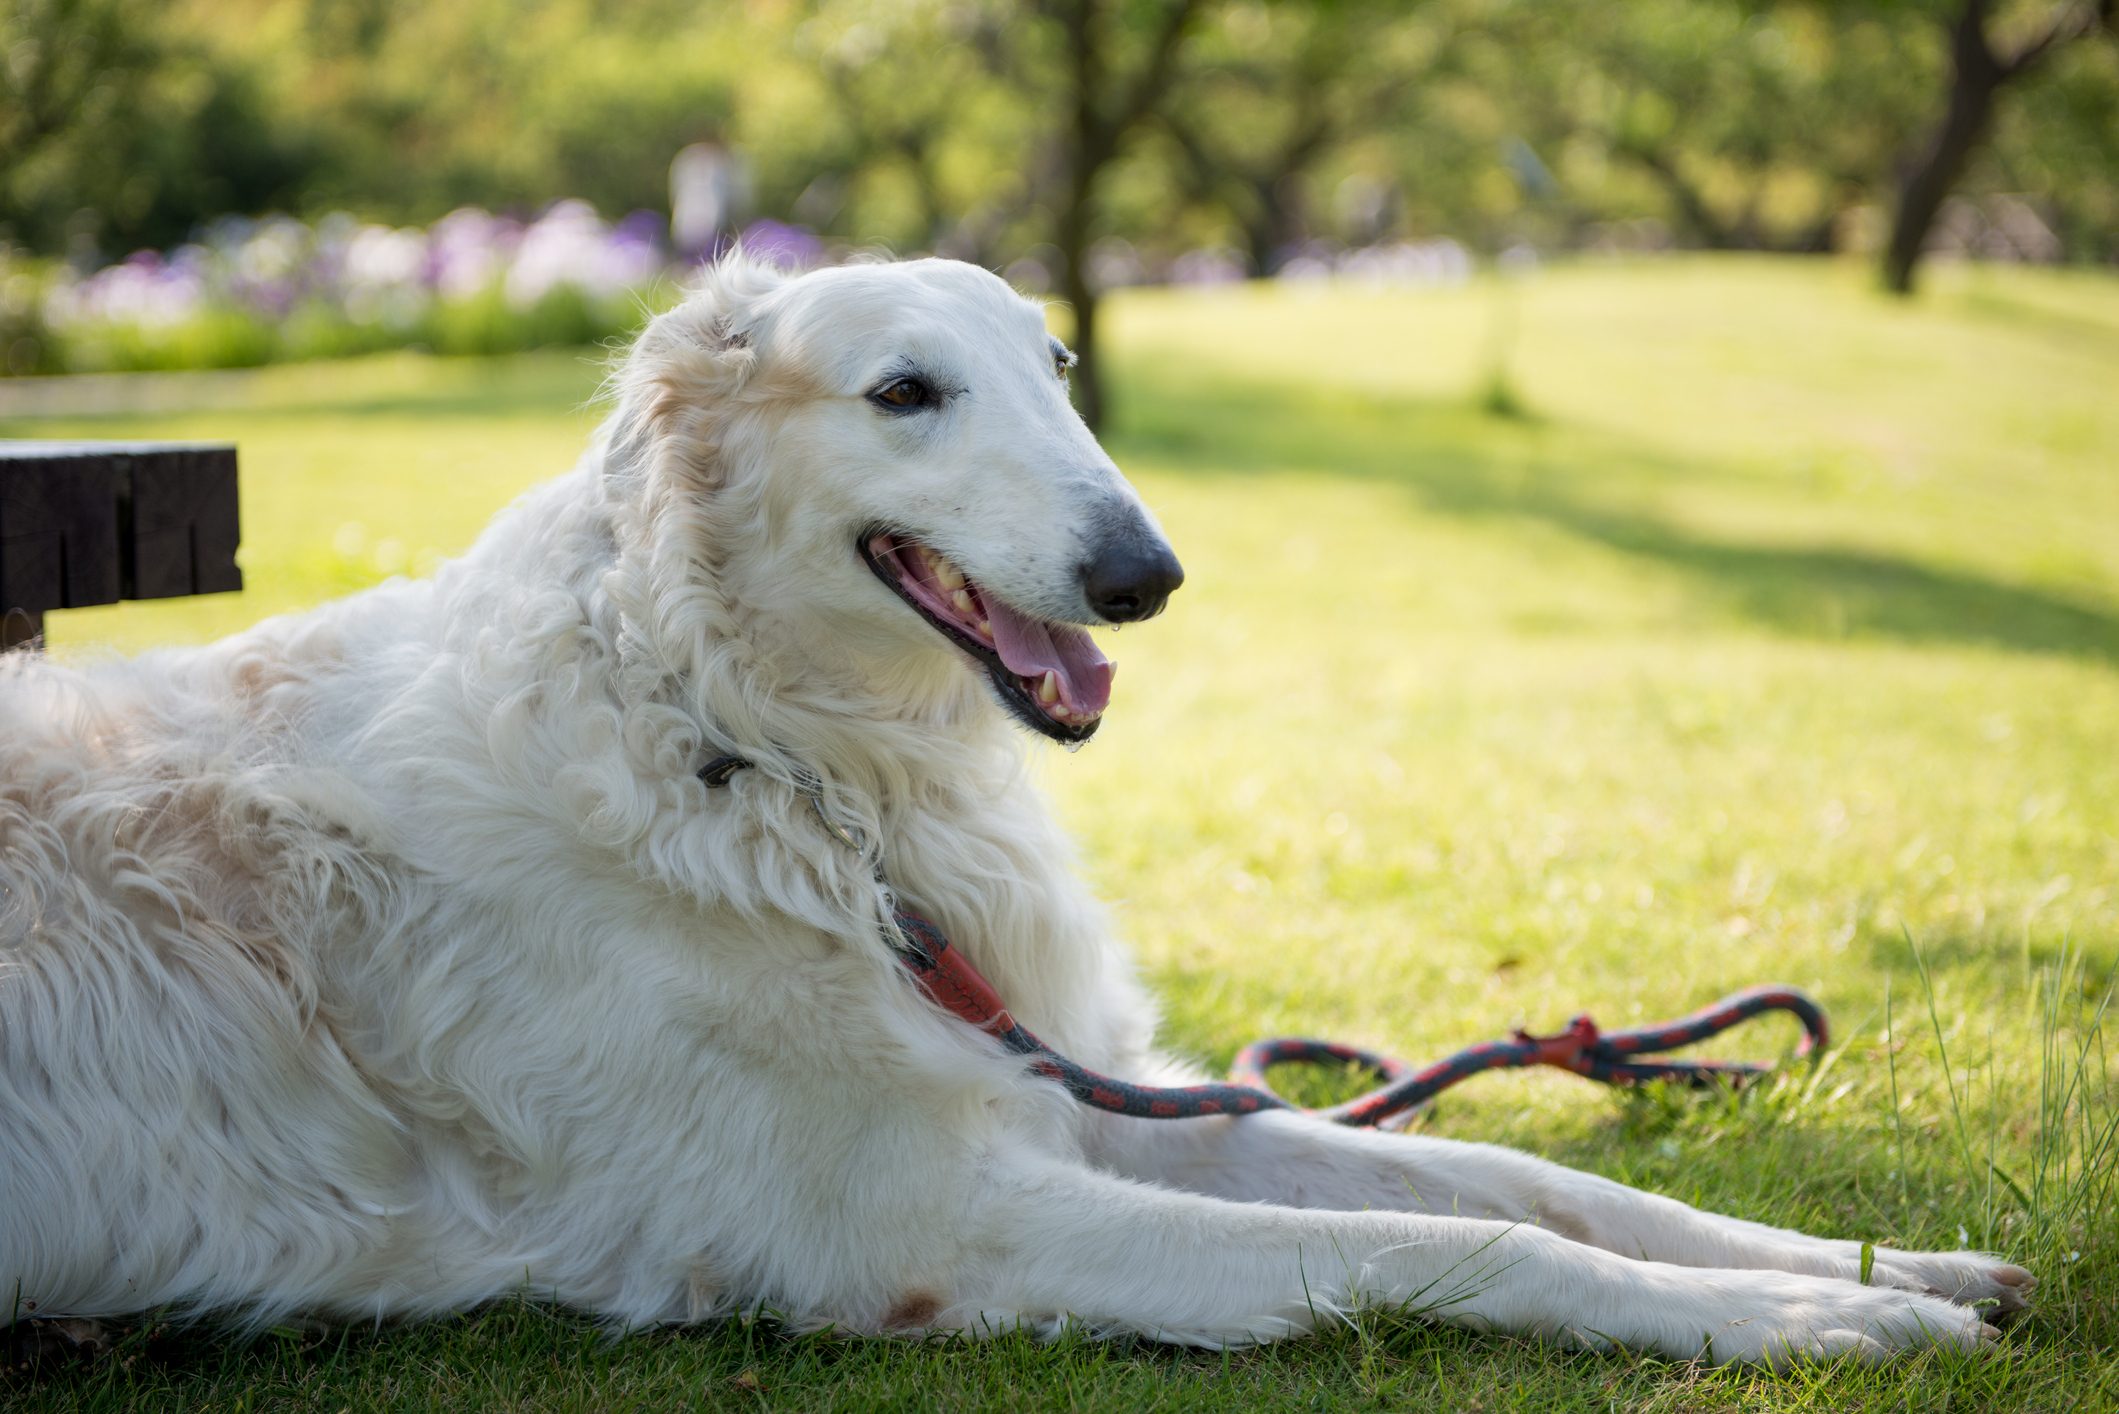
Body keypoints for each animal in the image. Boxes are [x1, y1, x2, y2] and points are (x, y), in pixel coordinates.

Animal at [0, 254, 2034, 1356]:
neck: (766, 766)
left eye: (1054, 369)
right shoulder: (929, 1220)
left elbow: (1524, 1173)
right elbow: (1456, 1237)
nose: (1146, 574)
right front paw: (1818, 1325)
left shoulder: (1082, 1097)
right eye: (905, 390)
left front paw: (1883, 1265)